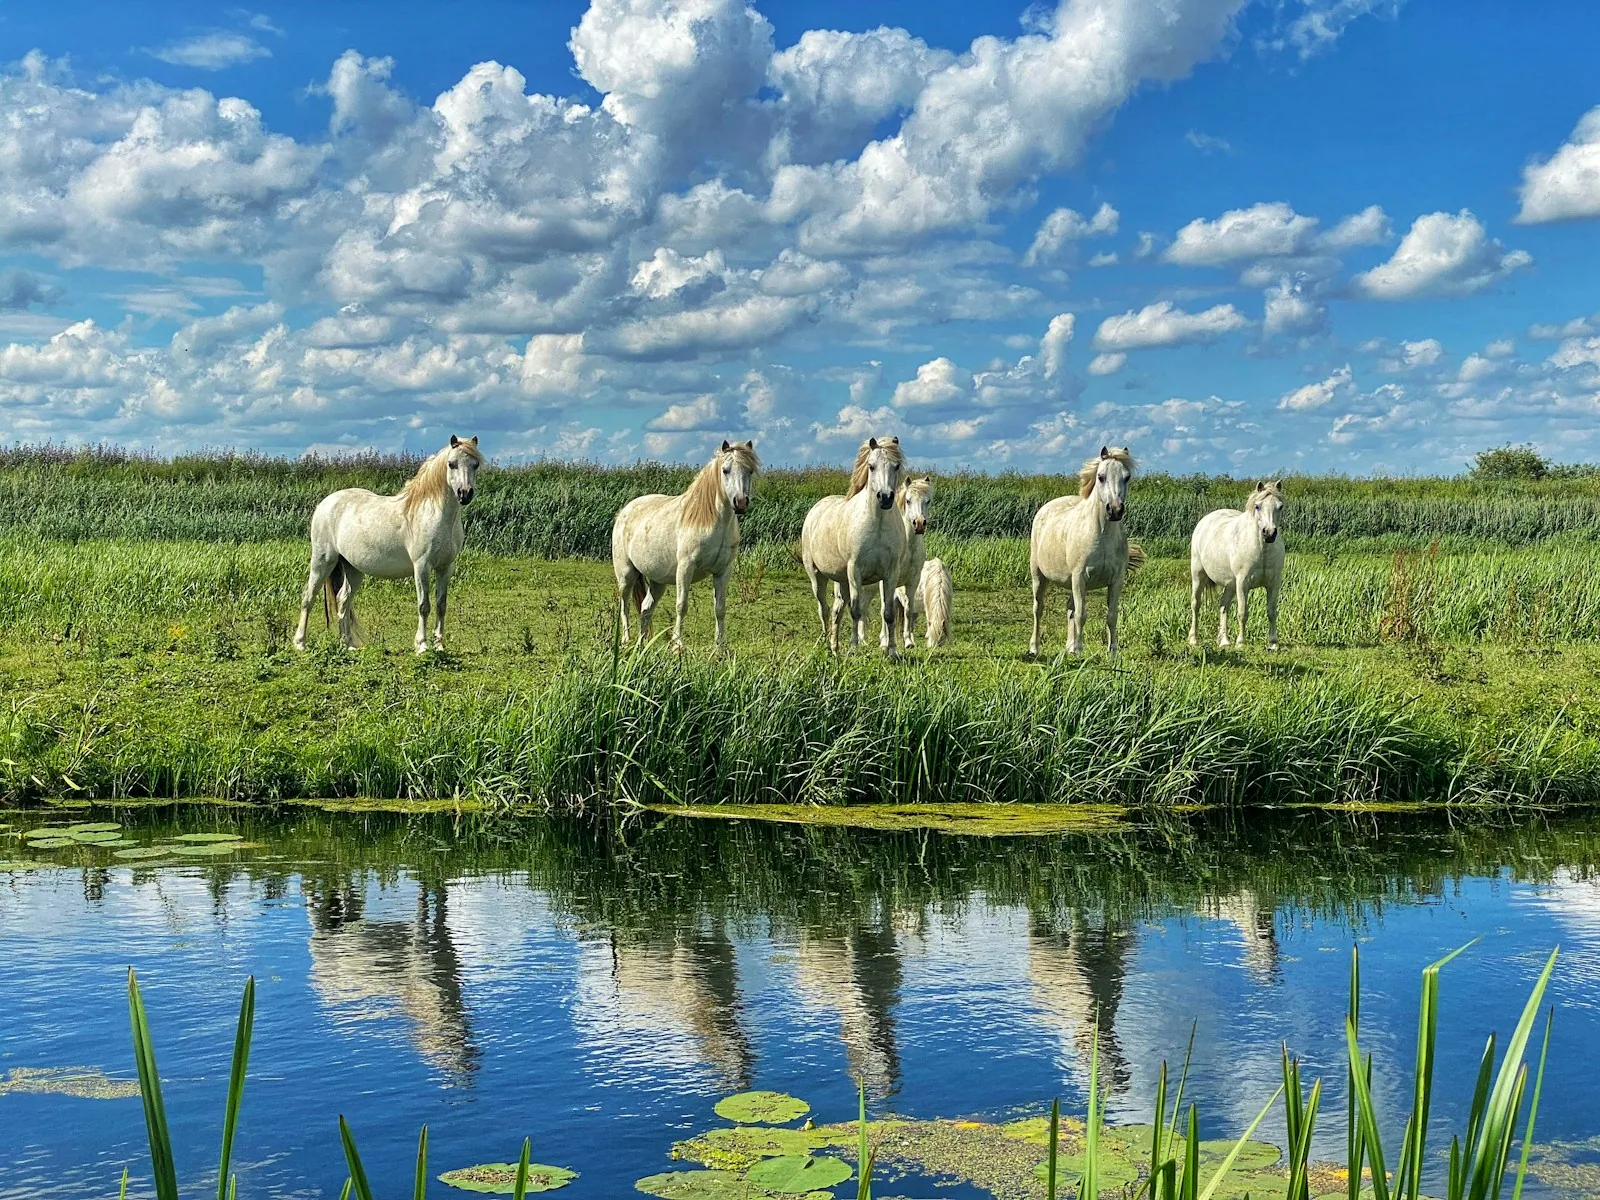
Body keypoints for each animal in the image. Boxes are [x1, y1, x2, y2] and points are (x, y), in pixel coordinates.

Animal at [293, 435, 483, 654]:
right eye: (451, 464)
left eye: (475, 464)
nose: (465, 494)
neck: (433, 514)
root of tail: (326, 503)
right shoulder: (422, 566)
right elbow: (424, 606)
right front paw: (422, 645)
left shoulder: (446, 567)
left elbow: (441, 605)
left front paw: (439, 646)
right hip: (323, 560)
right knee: (308, 597)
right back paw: (300, 643)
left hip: (353, 569)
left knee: (343, 601)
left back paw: (348, 645)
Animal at [612, 439, 759, 651]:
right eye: (725, 470)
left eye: (750, 471)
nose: (740, 502)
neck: (713, 523)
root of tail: (625, 511)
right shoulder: (685, 568)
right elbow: (682, 606)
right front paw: (677, 645)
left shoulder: (723, 571)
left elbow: (720, 608)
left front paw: (720, 647)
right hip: (626, 575)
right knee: (625, 606)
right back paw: (625, 641)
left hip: (657, 581)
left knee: (646, 608)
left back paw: (643, 645)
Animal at [801, 437, 906, 656]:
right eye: (871, 466)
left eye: (896, 466)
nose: (885, 497)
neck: (877, 524)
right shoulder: (855, 570)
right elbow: (856, 611)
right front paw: (853, 649)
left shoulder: (891, 573)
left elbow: (889, 613)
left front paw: (892, 651)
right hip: (817, 576)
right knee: (824, 609)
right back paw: (826, 644)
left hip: (842, 580)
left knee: (836, 610)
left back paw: (834, 647)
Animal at [1028, 446, 1145, 658]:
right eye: (1101, 476)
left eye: (1127, 477)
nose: (1114, 510)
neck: (1101, 535)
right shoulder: (1080, 578)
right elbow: (1082, 615)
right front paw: (1080, 650)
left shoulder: (1116, 581)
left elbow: (1111, 616)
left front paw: (1112, 653)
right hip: (1039, 576)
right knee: (1038, 609)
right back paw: (1035, 648)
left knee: (1069, 609)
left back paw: (1069, 647)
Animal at [1189, 480, 1285, 650]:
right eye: (1257, 506)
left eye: (1280, 506)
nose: (1269, 533)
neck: (1262, 549)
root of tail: (1206, 520)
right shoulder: (1243, 583)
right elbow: (1242, 613)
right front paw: (1240, 643)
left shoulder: (1274, 583)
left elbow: (1272, 611)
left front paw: (1273, 643)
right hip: (1198, 576)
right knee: (1196, 604)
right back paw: (1194, 639)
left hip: (1230, 585)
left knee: (1223, 606)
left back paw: (1224, 641)